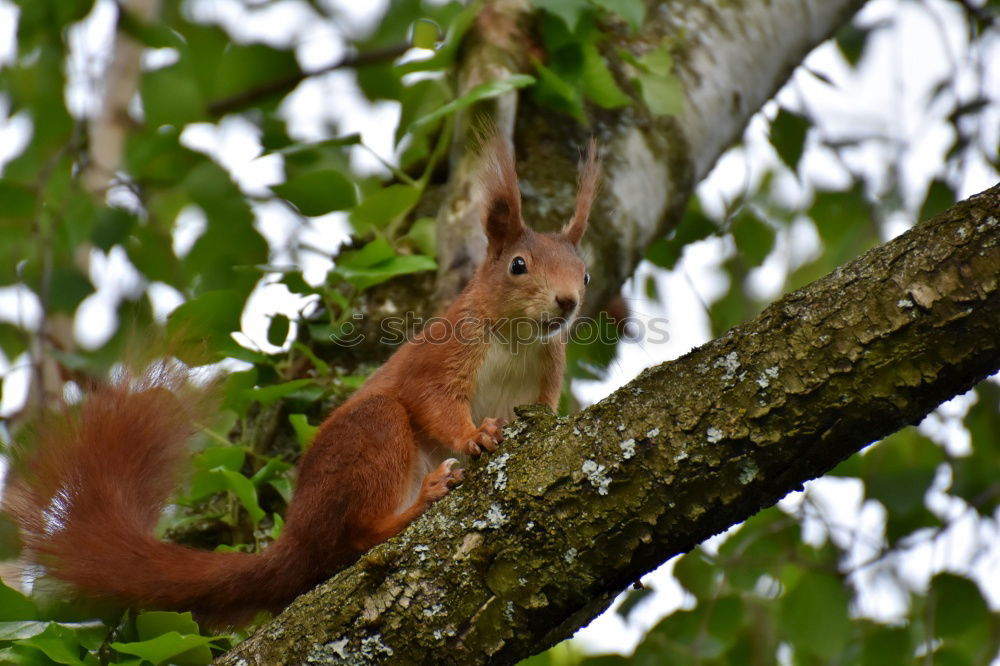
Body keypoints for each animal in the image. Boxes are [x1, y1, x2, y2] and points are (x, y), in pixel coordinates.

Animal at [5, 136, 600, 628]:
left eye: (587, 273)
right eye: (518, 265)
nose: (569, 303)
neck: (517, 336)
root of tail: (293, 536)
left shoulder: (545, 376)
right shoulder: (446, 351)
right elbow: (431, 399)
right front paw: (475, 436)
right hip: (370, 436)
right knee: (354, 535)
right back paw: (419, 501)